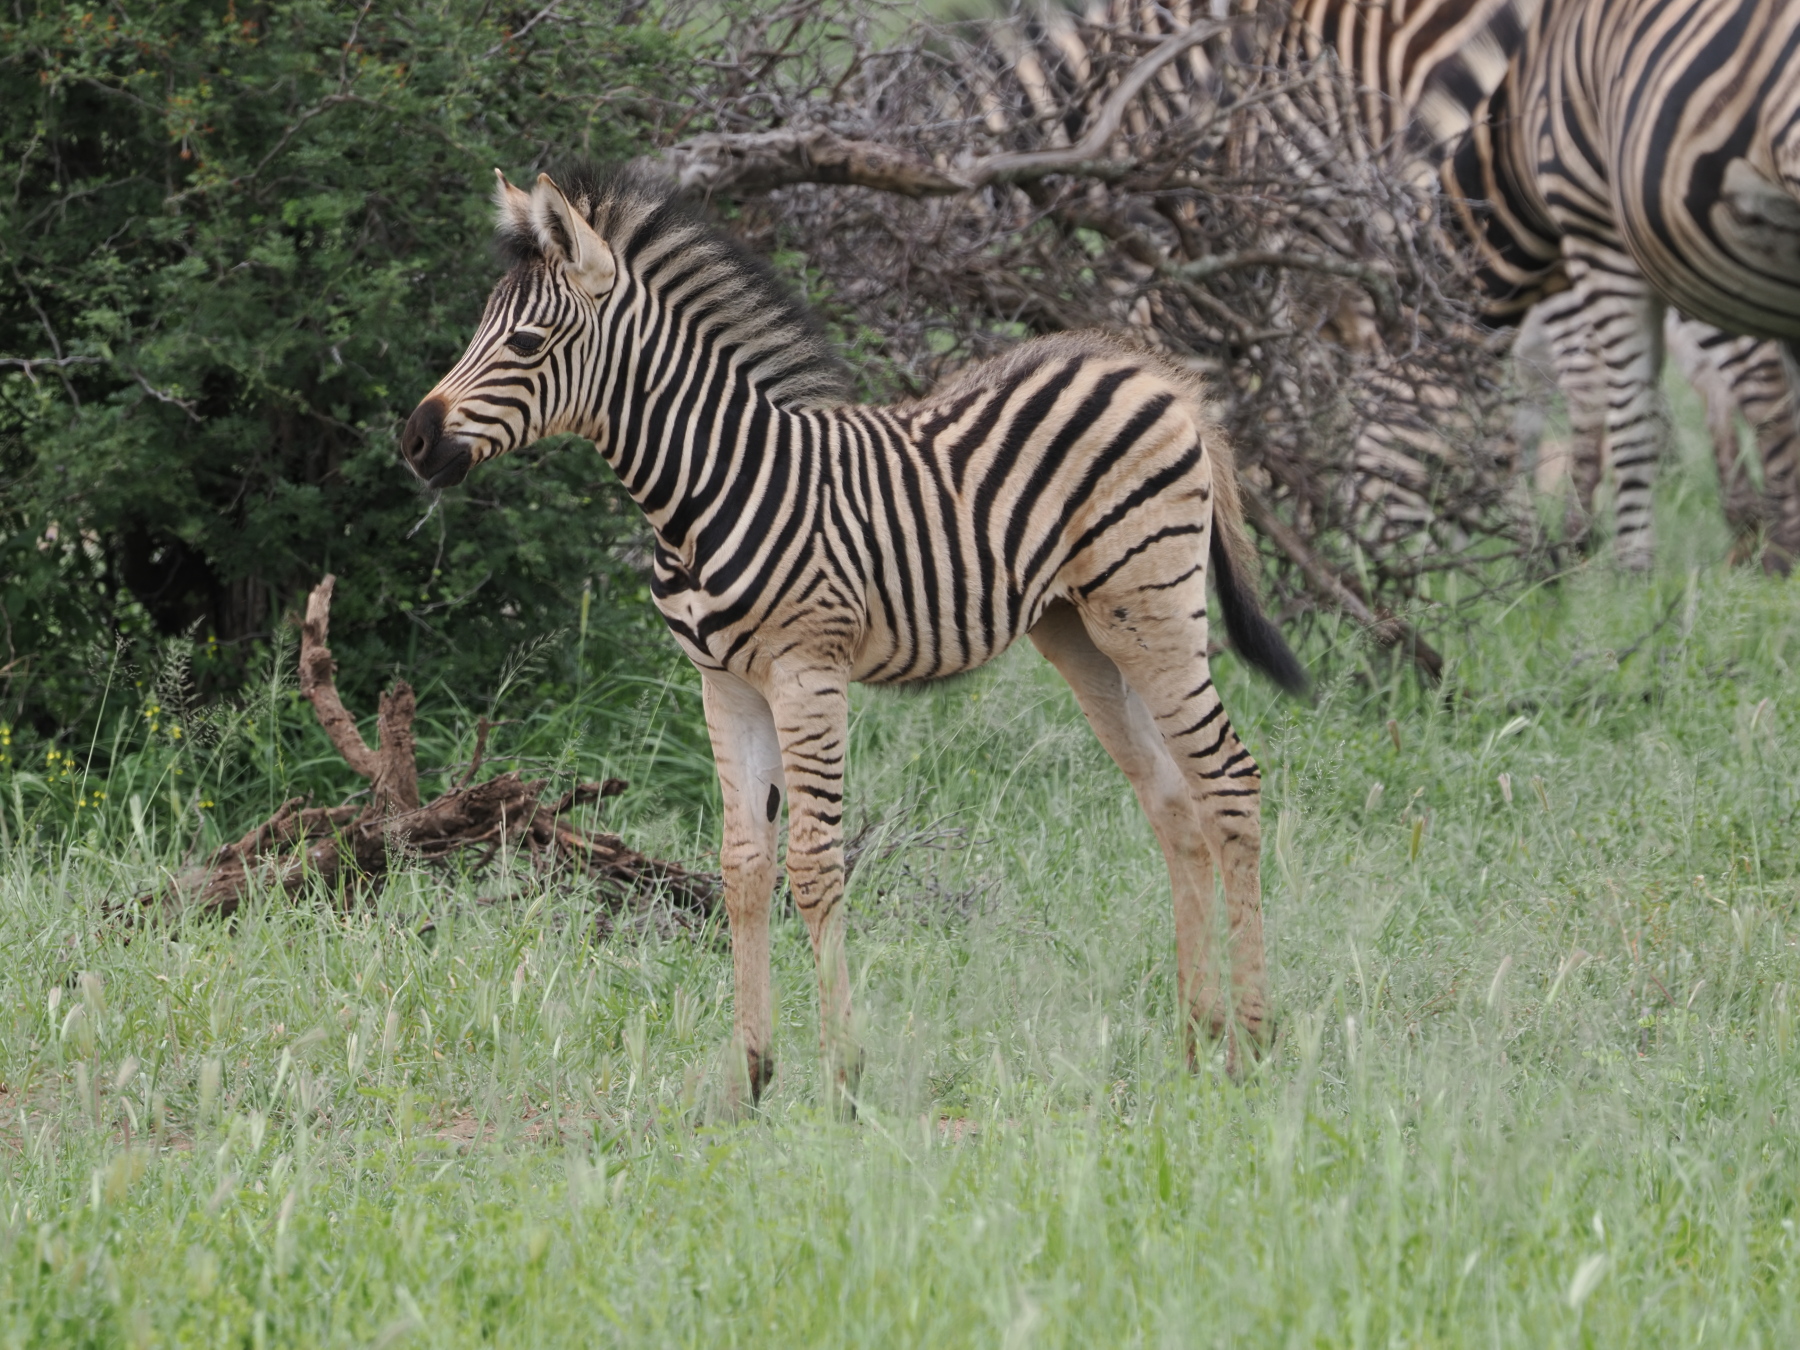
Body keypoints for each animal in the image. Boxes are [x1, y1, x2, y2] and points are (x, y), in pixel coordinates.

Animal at [401, 165, 1309, 1105]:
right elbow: (743, 867)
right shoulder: (722, 684)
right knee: (1173, 801)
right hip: (1085, 632)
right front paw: (752, 1077)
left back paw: (1252, 1045)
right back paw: (1195, 1044)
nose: (415, 440)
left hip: (1154, 604)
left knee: (1229, 781)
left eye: (528, 342)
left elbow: (812, 865)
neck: (703, 492)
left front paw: (843, 1076)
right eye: (482, 328)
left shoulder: (808, 671)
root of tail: (1153, 371)